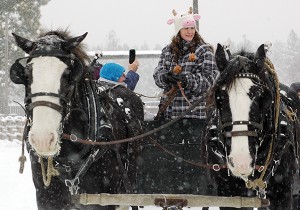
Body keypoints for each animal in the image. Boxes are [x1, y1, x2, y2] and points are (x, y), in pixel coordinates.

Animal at [9, 30, 144, 210]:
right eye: (26, 75)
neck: (69, 159)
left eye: (68, 75)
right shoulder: (47, 199)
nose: (42, 139)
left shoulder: (104, 199)